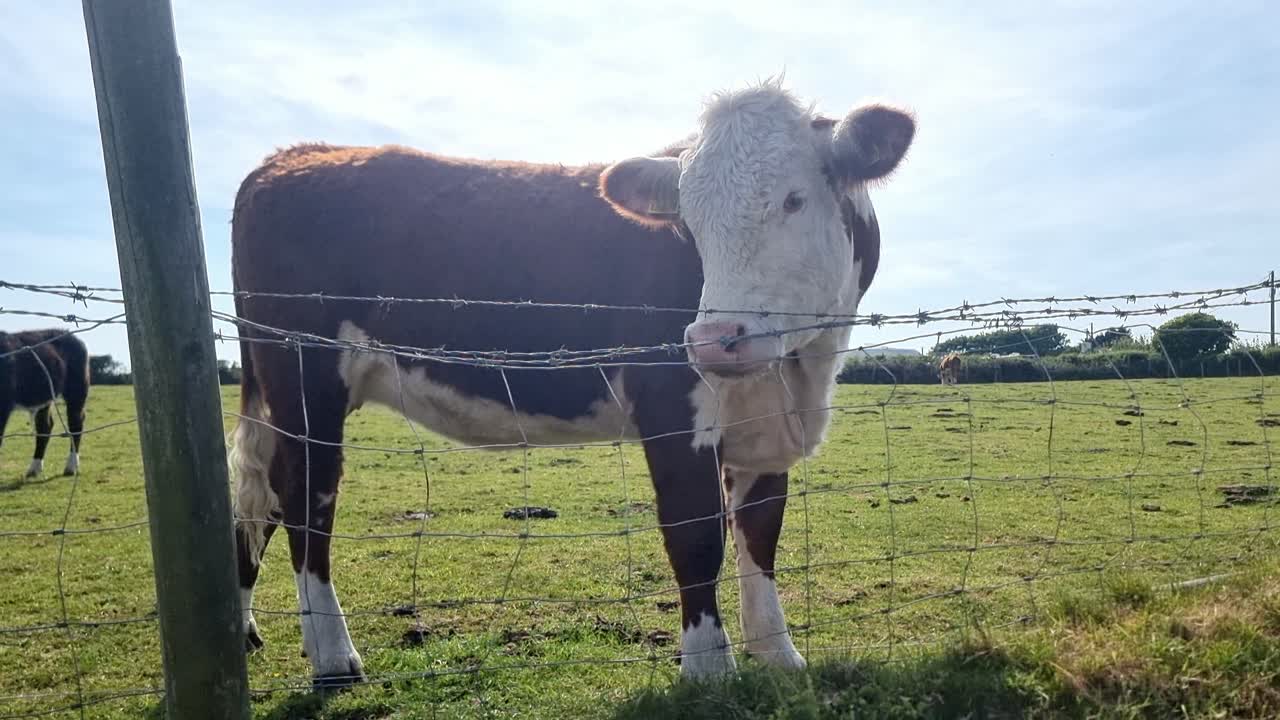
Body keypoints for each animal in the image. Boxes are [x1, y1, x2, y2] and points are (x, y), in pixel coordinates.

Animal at [0, 329, 89, 478]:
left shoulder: (4, 406)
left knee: (76, 422)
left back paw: (71, 467)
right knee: (45, 426)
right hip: (45, 396)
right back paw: (34, 468)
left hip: (77, 388)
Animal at [227, 79, 915, 688]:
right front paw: (708, 670)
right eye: (688, 222)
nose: (711, 337)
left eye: (795, 199)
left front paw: (779, 655)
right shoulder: (671, 407)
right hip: (305, 378)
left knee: (256, 495)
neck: (798, 371)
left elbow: (760, 534)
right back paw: (333, 656)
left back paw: (245, 629)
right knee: (305, 499)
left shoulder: (765, 428)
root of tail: (296, 155)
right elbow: (695, 534)